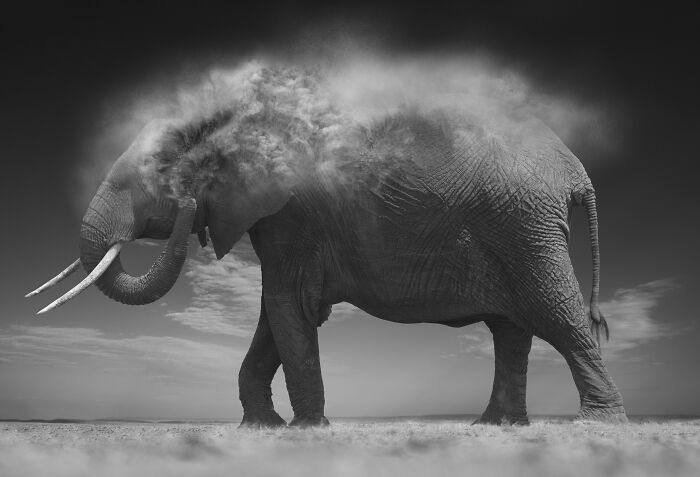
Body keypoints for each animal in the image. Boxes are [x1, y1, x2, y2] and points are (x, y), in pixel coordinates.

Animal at [28, 63, 627, 427]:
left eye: (162, 171)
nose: (186, 201)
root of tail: (573, 167)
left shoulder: (295, 212)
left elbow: (287, 306)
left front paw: (305, 429)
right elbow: (278, 312)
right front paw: (263, 428)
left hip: (524, 228)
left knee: (554, 315)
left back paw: (595, 422)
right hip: (516, 225)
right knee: (512, 328)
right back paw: (495, 427)